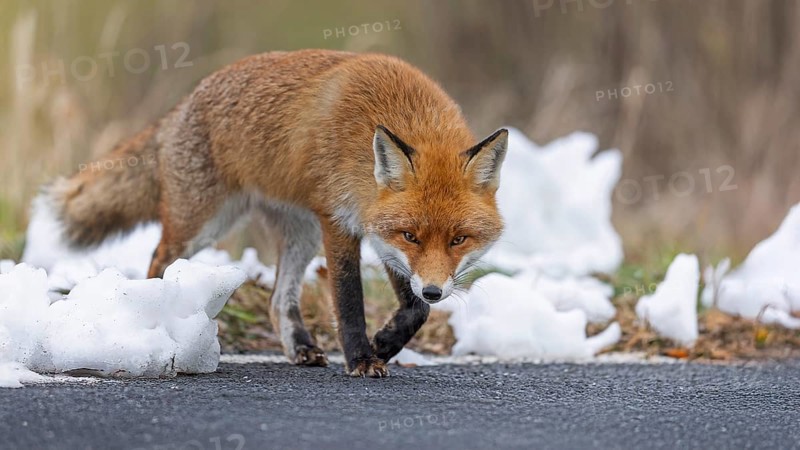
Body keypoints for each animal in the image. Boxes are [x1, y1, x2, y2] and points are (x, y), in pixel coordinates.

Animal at [47, 49, 508, 377]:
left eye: (458, 239)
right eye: (413, 235)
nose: (434, 290)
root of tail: (182, 105)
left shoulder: (378, 231)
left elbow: (415, 311)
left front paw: (386, 343)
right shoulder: (339, 220)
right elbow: (349, 299)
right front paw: (361, 357)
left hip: (299, 234)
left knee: (276, 300)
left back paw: (301, 347)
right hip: (202, 225)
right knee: (158, 260)